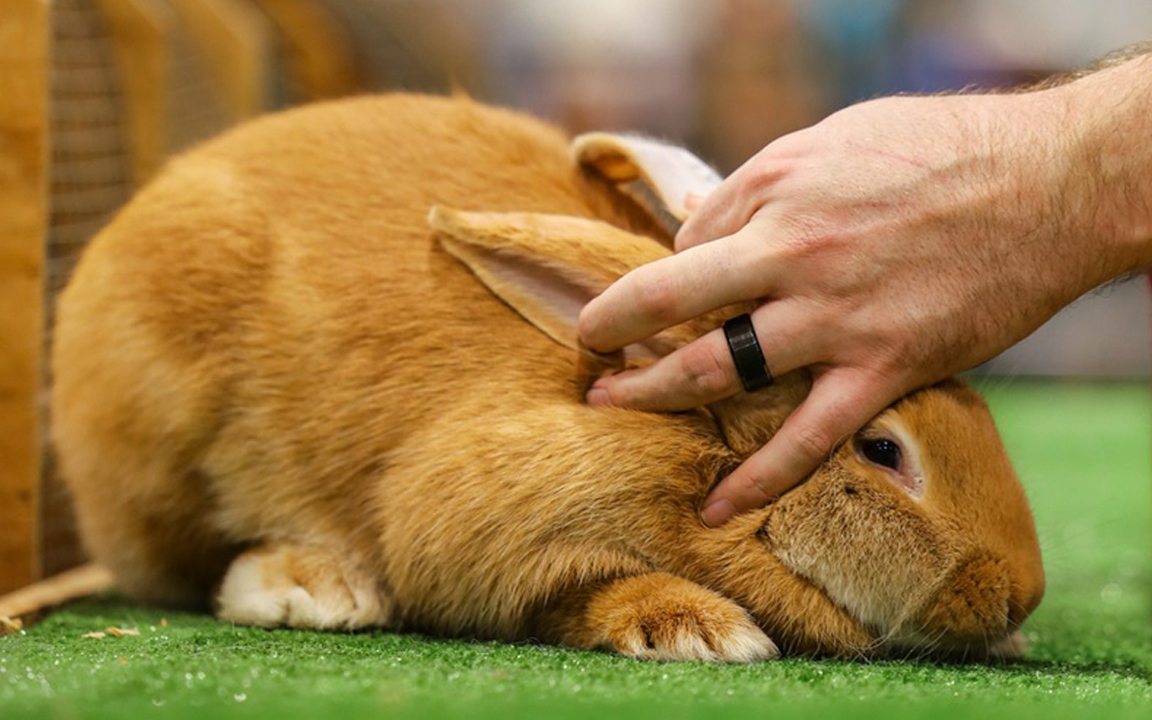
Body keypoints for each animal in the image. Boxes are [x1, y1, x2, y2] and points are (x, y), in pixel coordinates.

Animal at [51, 93, 1044, 662]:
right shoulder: (490, 532)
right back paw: (309, 589)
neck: (695, 449)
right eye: (882, 452)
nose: (1020, 594)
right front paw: (701, 631)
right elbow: (574, 594)